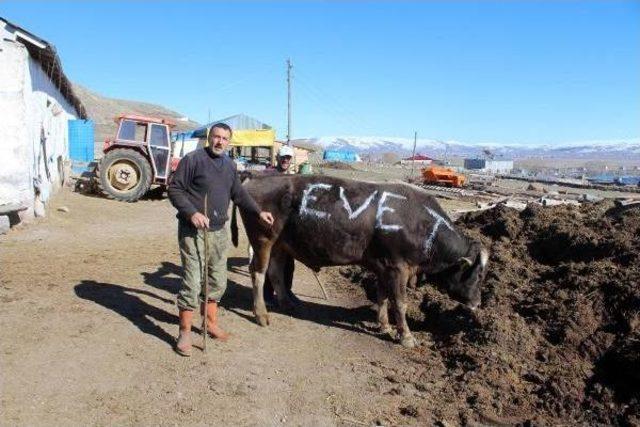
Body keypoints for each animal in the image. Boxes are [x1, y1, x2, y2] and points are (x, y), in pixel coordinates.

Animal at [232, 176, 488, 350]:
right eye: (477, 275)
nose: (477, 303)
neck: (424, 225)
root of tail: (256, 177)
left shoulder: (384, 267)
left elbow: (382, 297)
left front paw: (384, 325)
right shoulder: (398, 268)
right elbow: (400, 303)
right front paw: (406, 336)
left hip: (280, 245)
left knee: (275, 272)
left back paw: (287, 304)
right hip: (263, 239)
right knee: (257, 272)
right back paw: (261, 314)